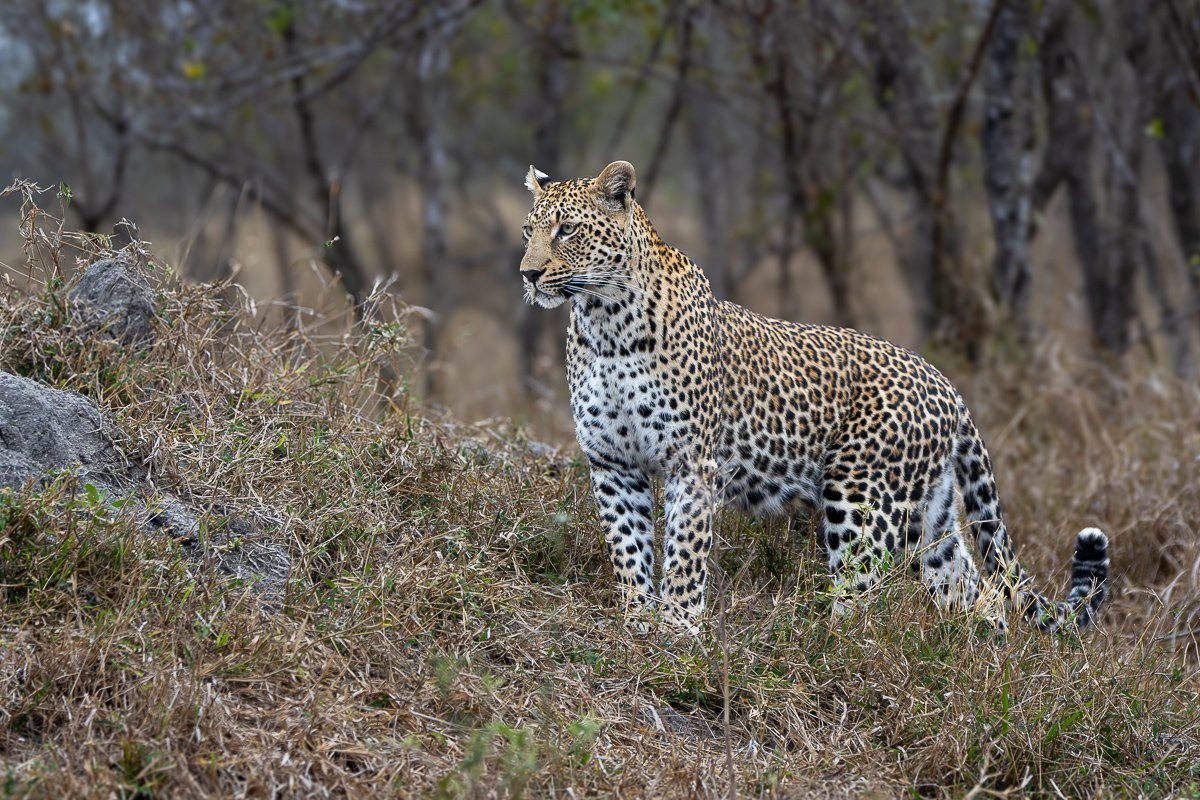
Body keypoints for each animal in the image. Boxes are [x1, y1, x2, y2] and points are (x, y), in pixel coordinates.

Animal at [519, 159, 1109, 635]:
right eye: (529, 230)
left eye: (567, 229)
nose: (528, 272)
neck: (604, 323)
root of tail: (946, 384)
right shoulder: (612, 462)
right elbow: (628, 546)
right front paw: (637, 620)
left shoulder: (693, 464)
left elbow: (684, 550)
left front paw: (679, 628)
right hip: (931, 516)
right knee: (974, 589)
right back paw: (972, 660)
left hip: (861, 495)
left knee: (864, 594)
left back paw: (835, 647)